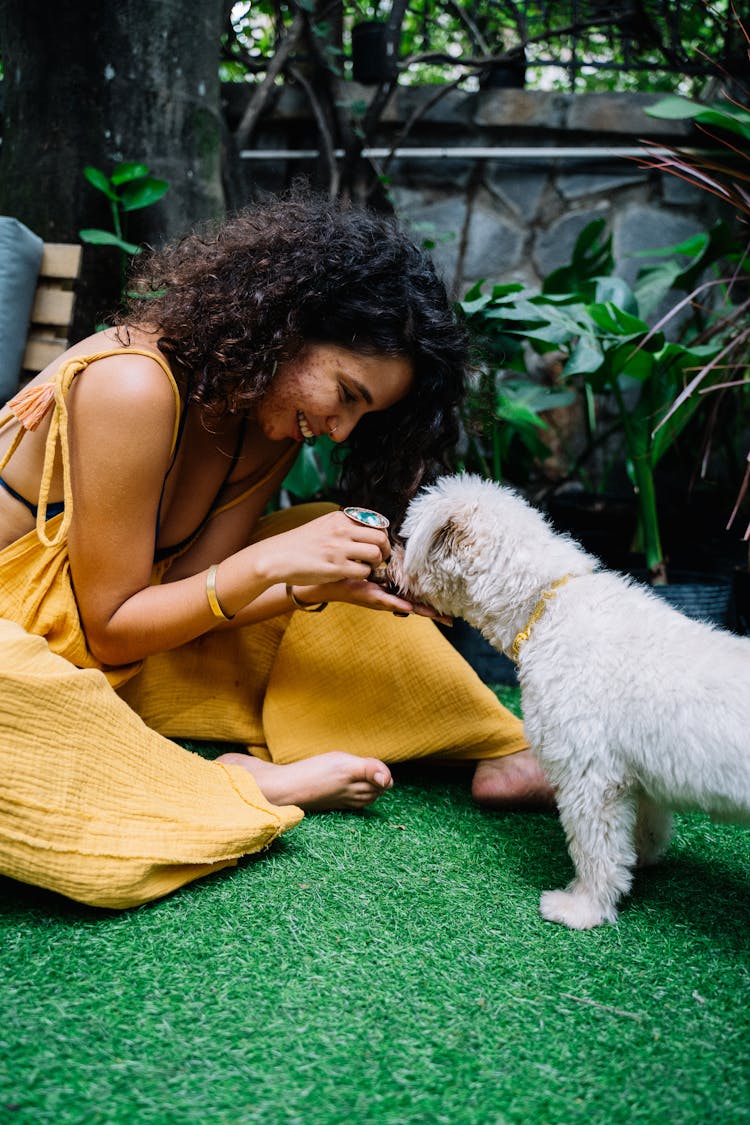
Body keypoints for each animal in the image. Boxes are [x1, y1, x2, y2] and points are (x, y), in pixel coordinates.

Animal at [391, 470, 750, 927]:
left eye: (405, 538)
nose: (387, 557)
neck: (545, 603)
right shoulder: (636, 773)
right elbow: (643, 830)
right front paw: (640, 862)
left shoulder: (589, 772)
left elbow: (595, 849)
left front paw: (583, 907)